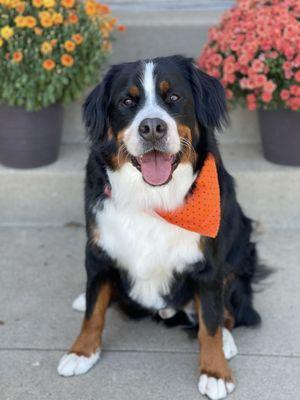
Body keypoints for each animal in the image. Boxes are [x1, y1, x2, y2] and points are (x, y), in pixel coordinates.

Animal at [57, 54, 266, 398]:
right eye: (127, 101)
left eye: (174, 98)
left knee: (228, 310)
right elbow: (93, 311)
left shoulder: (208, 264)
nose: (152, 127)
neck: (151, 198)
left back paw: (227, 340)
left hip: (239, 254)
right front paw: (81, 351)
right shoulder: (98, 250)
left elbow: (210, 323)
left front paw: (215, 371)